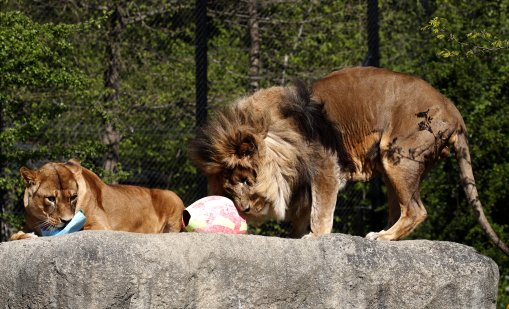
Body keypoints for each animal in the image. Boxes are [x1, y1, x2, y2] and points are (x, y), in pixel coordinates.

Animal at [9, 158, 184, 239]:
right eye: (51, 198)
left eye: (73, 197)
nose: (67, 221)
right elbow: (13, 235)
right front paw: (24, 235)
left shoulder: (100, 226)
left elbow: (76, 229)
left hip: (171, 196)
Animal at [190, 66, 508, 254]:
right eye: (230, 187)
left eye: (246, 180)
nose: (242, 208)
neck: (277, 134)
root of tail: (455, 114)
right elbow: (305, 213)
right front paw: (296, 237)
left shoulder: (325, 168)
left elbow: (320, 212)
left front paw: (314, 238)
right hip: (391, 164)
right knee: (401, 208)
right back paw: (383, 233)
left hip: (399, 155)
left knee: (416, 210)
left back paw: (383, 237)